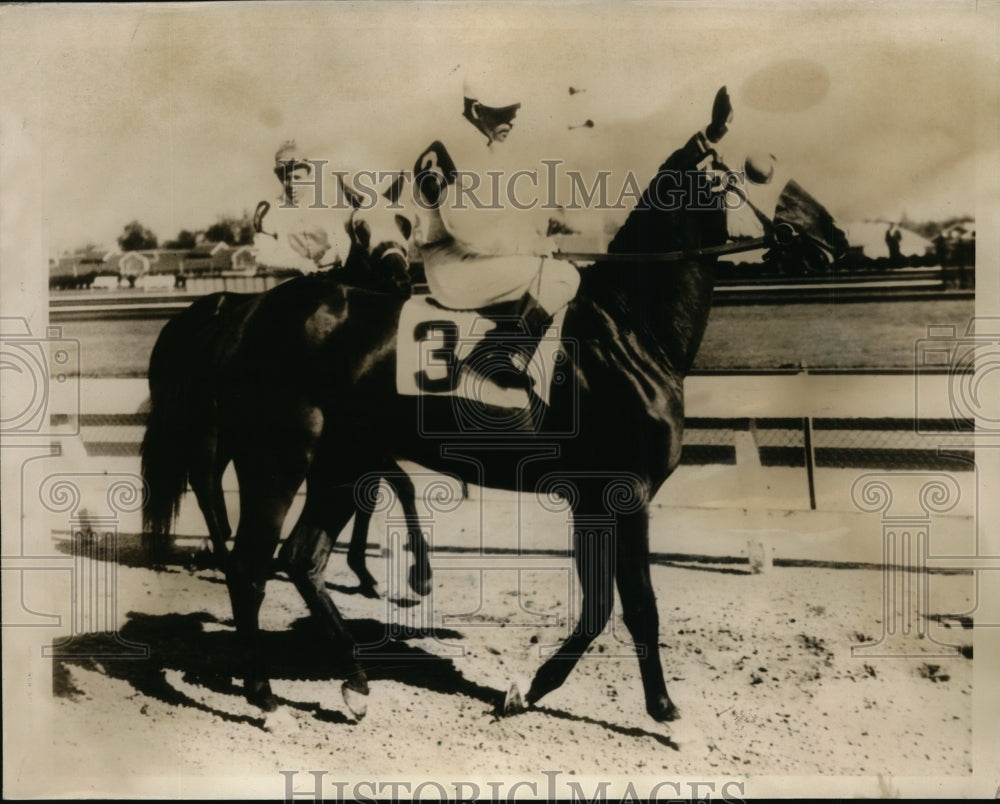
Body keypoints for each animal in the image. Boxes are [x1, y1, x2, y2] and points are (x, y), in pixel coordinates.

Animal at [141, 130, 844, 724]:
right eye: (757, 172)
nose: (835, 240)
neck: (626, 333)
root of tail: (249, 312)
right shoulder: (624, 492)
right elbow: (634, 605)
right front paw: (659, 710)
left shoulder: (592, 499)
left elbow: (599, 605)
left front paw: (528, 691)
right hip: (280, 460)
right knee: (249, 564)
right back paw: (262, 693)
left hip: (341, 462)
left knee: (300, 558)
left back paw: (355, 683)